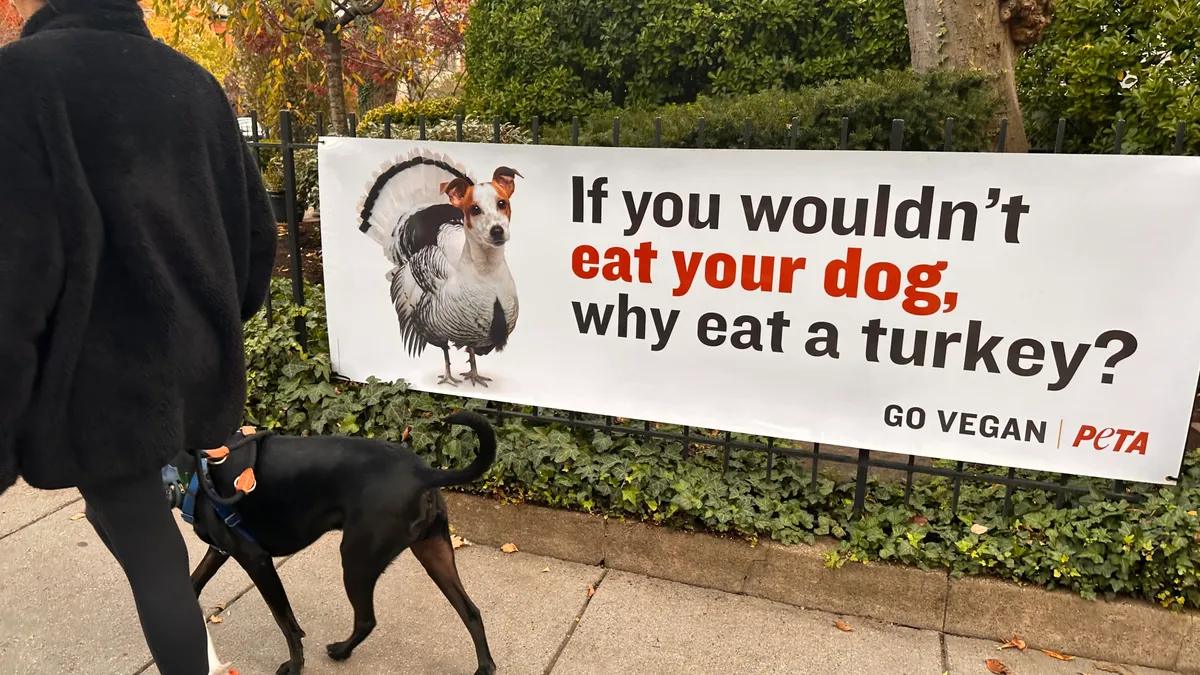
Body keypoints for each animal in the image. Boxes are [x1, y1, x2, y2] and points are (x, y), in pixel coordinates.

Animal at [164, 403, 496, 672]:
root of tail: (423, 473)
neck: (192, 471)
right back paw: (484, 667)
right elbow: (193, 582)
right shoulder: (219, 551)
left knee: (366, 620)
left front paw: (295, 665)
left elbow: (286, 623)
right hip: (433, 552)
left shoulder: (256, 561)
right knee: (471, 612)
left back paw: (341, 651)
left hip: (357, 560)